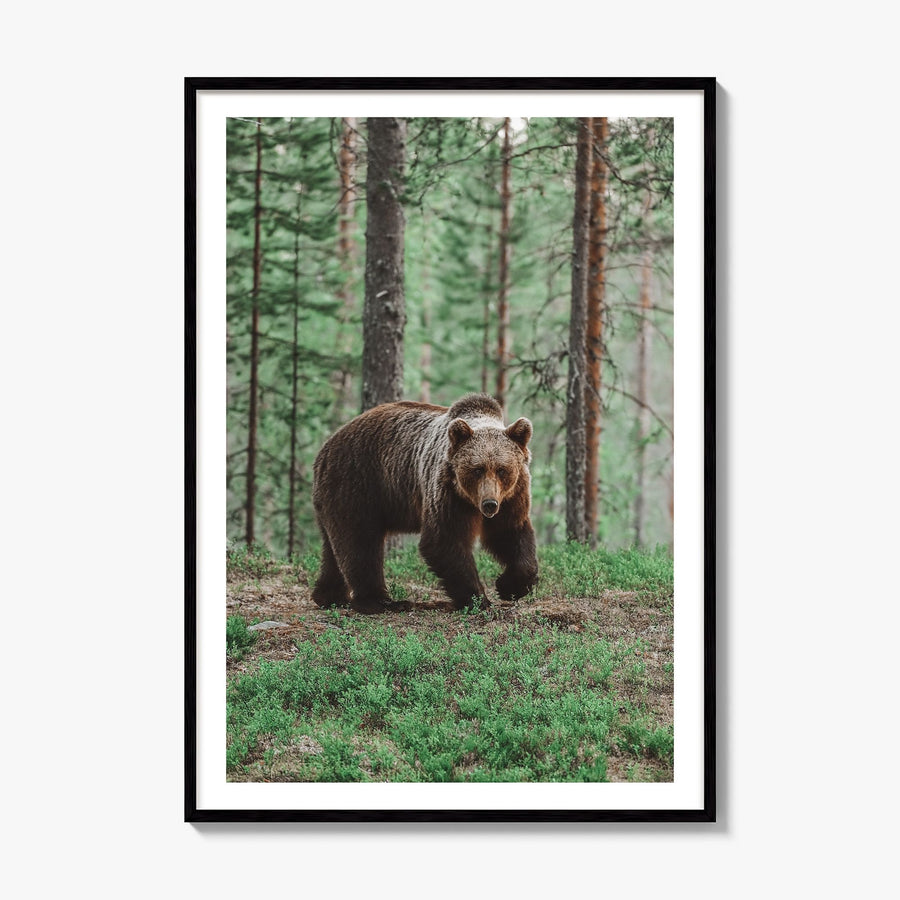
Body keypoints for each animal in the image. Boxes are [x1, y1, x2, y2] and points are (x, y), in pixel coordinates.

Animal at [311, 393, 539, 614]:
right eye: (477, 469)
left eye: (502, 469)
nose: (489, 504)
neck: (470, 501)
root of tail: (325, 448)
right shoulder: (447, 493)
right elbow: (443, 540)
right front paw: (477, 600)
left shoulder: (511, 497)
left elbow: (509, 533)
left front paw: (509, 586)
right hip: (357, 484)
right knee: (360, 542)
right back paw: (379, 601)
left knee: (334, 548)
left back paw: (329, 597)